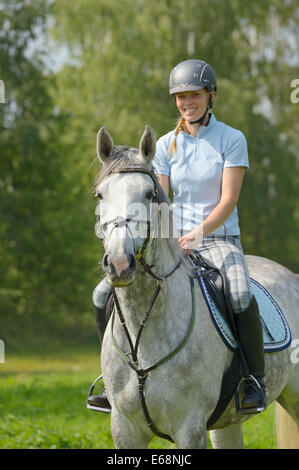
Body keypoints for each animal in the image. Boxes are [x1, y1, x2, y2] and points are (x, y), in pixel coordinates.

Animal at [94, 126, 299, 450]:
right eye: (101, 194)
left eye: (149, 194)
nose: (119, 262)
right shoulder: (124, 430)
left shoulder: (189, 428)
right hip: (228, 422)